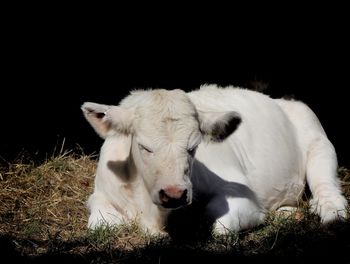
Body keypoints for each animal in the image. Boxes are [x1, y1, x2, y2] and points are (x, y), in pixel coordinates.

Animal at [81, 84, 348, 235]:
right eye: (144, 147)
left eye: (193, 147)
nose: (174, 194)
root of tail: (283, 100)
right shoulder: (100, 194)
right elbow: (103, 224)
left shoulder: (242, 194)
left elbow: (220, 224)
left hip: (320, 144)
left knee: (327, 189)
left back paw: (330, 213)